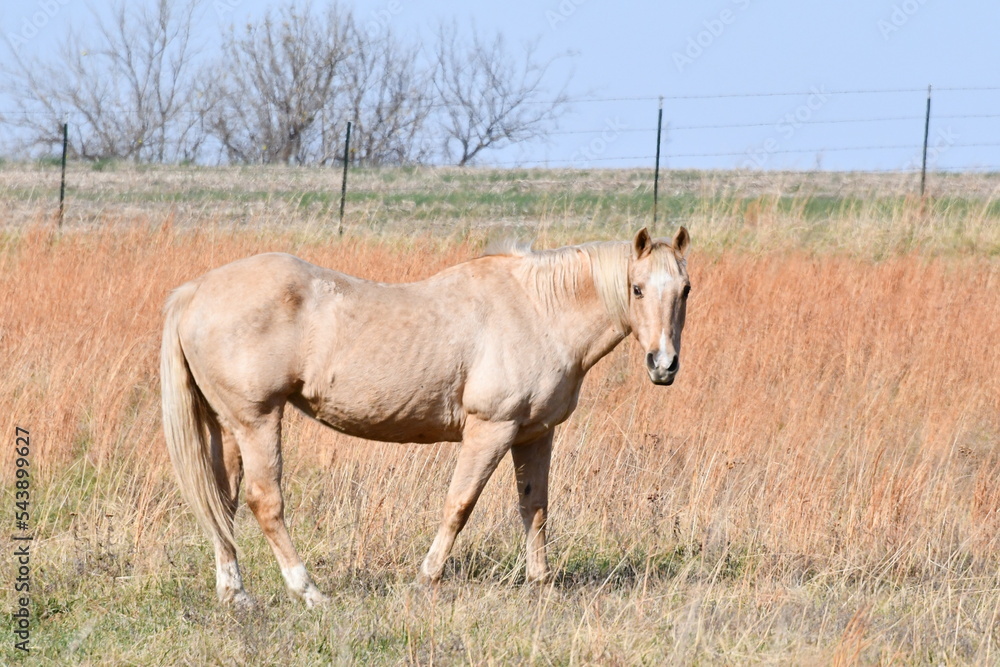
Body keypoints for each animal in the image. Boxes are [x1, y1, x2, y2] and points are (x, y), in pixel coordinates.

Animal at [161, 227, 691, 607]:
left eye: (685, 289)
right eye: (637, 288)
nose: (663, 365)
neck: (538, 310)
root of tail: (195, 289)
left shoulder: (534, 435)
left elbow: (535, 509)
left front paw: (541, 584)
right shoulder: (491, 429)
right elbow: (459, 505)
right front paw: (426, 578)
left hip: (229, 427)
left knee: (222, 502)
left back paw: (236, 594)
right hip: (257, 422)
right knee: (264, 502)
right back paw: (309, 593)